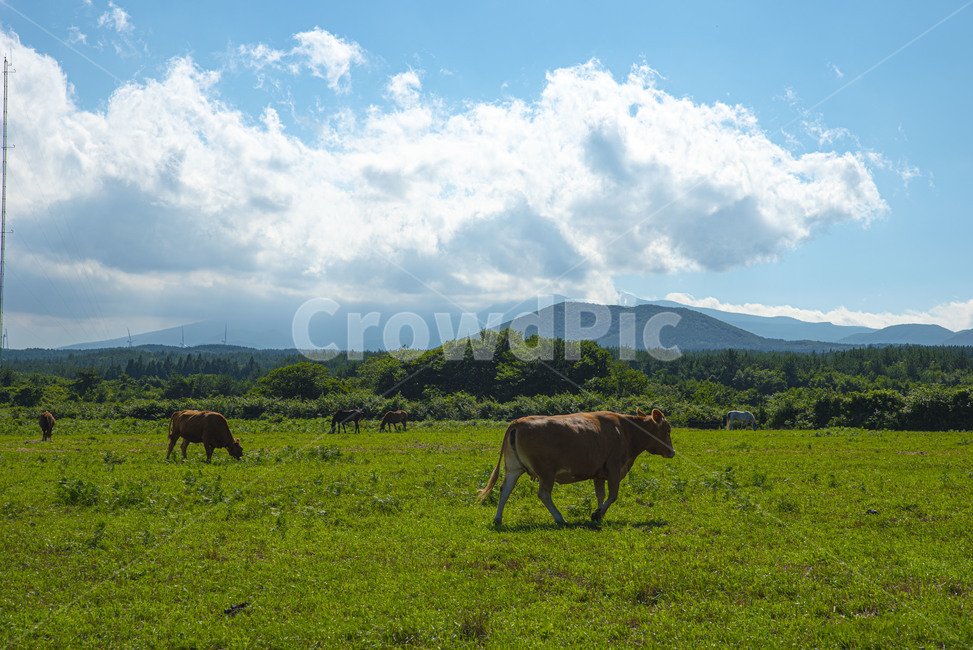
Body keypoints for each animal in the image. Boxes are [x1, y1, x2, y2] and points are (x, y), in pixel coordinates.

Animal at [478, 408, 675, 526]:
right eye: (668, 429)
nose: (672, 452)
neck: (626, 430)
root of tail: (518, 422)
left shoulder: (599, 473)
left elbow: (601, 495)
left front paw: (598, 514)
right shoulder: (614, 467)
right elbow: (613, 495)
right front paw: (598, 514)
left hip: (513, 469)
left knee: (505, 490)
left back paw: (498, 519)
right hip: (546, 472)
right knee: (544, 494)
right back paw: (560, 519)